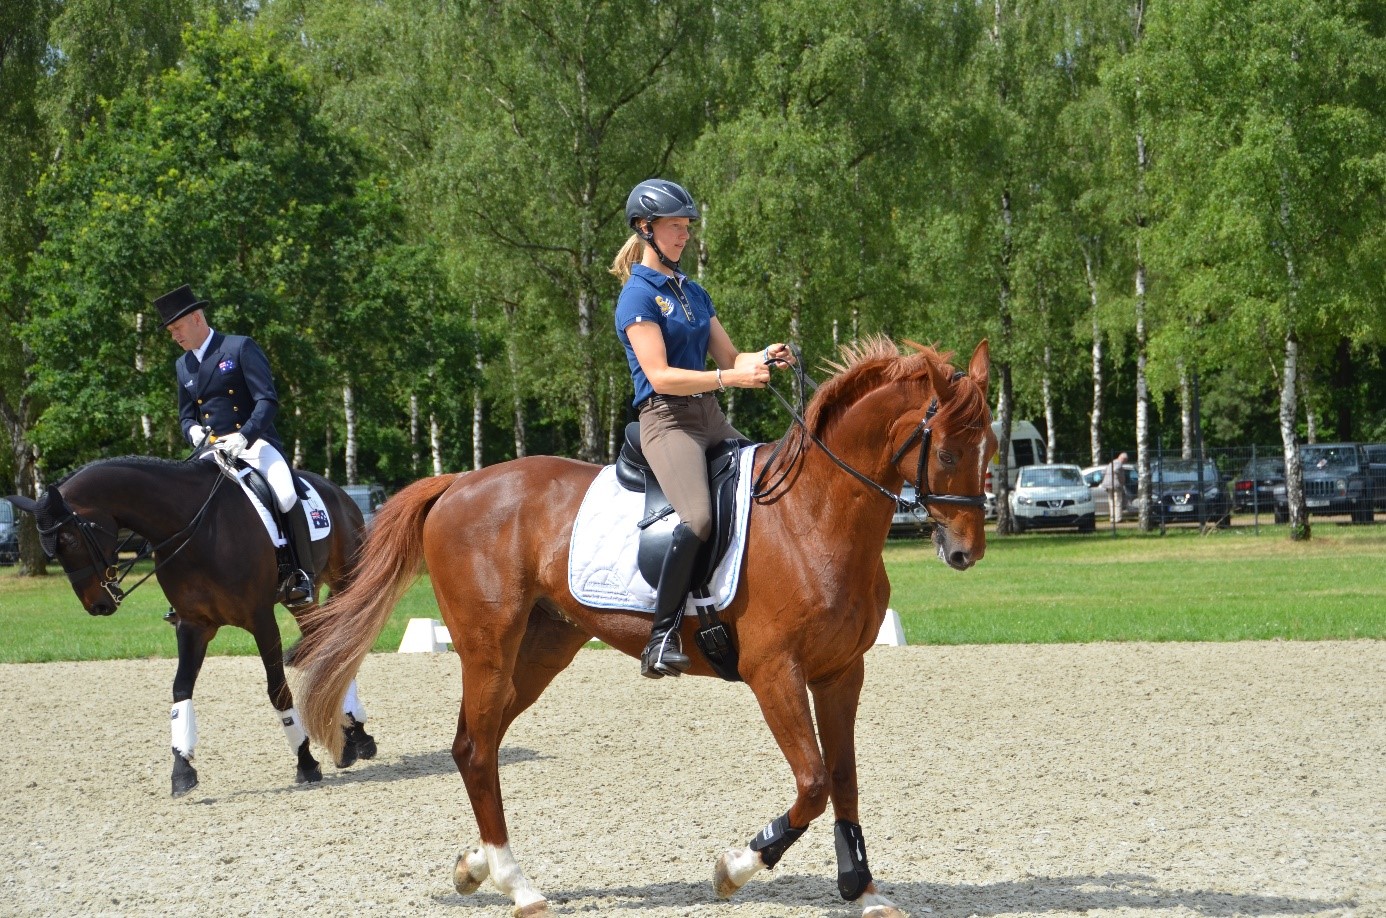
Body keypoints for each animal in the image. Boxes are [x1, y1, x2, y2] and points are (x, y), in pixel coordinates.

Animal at [9, 460, 374, 798]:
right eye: (50, 549)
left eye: (70, 539)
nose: (98, 605)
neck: (195, 531)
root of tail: (338, 491)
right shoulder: (192, 625)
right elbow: (181, 689)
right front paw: (182, 769)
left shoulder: (261, 620)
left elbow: (278, 690)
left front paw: (305, 761)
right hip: (300, 603)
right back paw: (350, 740)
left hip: (344, 580)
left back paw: (357, 735)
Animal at [295, 339, 997, 918]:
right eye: (949, 450)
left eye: (990, 447)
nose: (966, 553)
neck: (815, 514)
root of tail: (460, 482)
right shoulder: (775, 673)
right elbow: (814, 781)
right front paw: (736, 868)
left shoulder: (841, 670)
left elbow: (845, 777)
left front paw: (864, 888)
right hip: (489, 648)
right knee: (475, 749)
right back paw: (519, 886)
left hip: (541, 651)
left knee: (477, 745)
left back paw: (477, 866)